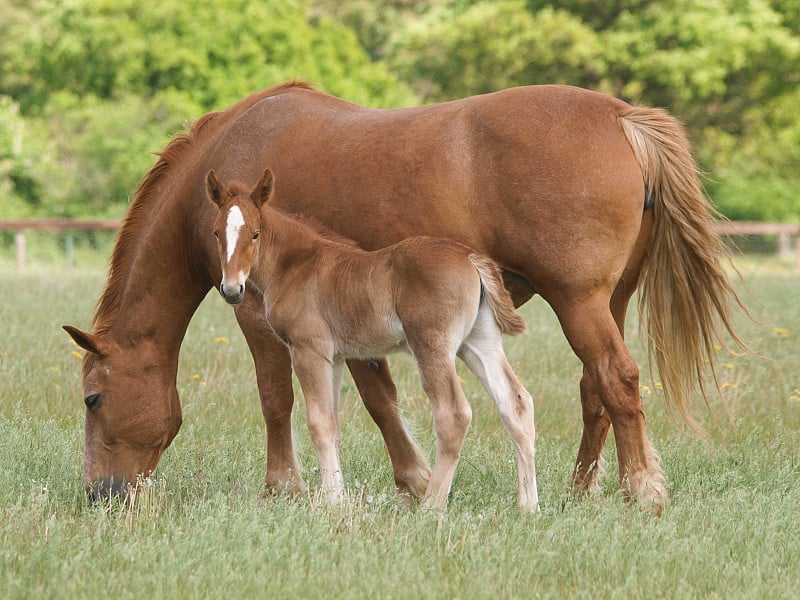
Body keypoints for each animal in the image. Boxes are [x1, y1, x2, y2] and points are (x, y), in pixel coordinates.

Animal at [203, 169, 536, 510]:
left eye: (255, 234)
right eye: (216, 233)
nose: (232, 289)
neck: (297, 264)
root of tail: (470, 257)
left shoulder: (308, 349)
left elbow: (319, 423)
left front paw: (331, 501)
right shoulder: (334, 357)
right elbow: (333, 425)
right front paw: (337, 497)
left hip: (432, 346)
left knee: (453, 415)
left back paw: (431, 506)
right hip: (479, 343)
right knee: (516, 404)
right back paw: (529, 506)